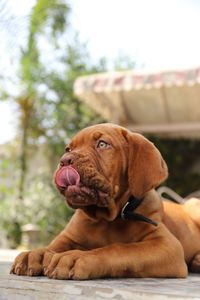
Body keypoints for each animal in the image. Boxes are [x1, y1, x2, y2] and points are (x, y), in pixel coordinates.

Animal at [10, 123, 200, 278]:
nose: (64, 161)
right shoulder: (68, 237)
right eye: (68, 149)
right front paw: (37, 254)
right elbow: (53, 246)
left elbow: (119, 248)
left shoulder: (168, 246)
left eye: (102, 144)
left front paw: (77, 256)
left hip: (194, 206)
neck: (106, 217)